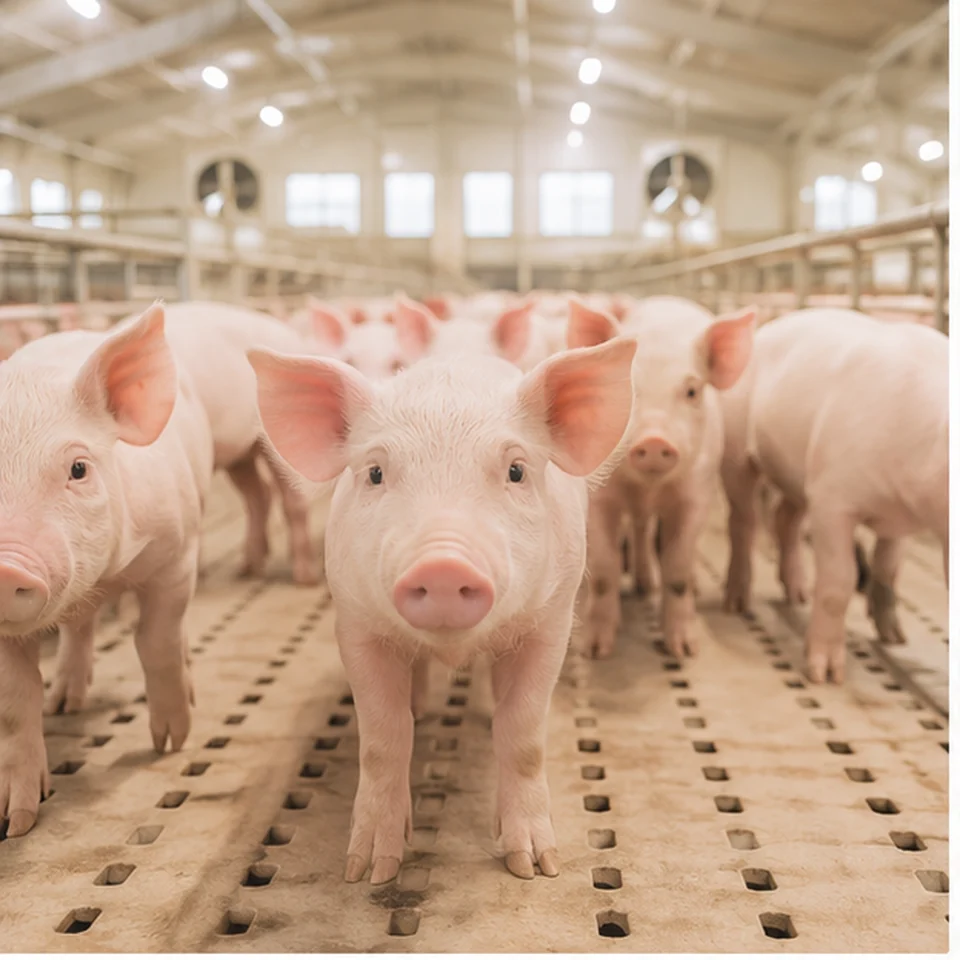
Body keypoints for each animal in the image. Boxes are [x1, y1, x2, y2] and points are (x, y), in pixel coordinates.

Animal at [0, 304, 213, 836]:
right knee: (79, 628)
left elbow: (156, 640)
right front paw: (17, 821)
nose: (7, 568)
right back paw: (65, 703)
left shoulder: (176, 553)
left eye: (78, 468)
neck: (103, 578)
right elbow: (14, 693)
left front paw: (171, 742)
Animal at [249, 338, 637, 883]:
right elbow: (382, 737)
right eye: (375, 473)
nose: (443, 563)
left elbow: (523, 734)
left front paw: (535, 866)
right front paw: (369, 870)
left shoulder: (551, 622)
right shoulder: (356, 624)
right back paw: (420, 707)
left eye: (516, 470)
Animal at [568, 296, 756, 660]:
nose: (654, 441)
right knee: (640, 529)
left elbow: (677, 570)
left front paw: (683, 650)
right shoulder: (600, 500)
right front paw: (595, 650)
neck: (648, 489)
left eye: (692, 391)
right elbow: (605, 571)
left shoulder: (697, 494)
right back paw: (643, 585)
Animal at [719, 308, 948, 683]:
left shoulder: (902, 521)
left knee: (786, 520)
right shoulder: (832, 499)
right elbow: (839, 581)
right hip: (737, 453)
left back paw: (796, 595)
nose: (897, 637)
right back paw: (736, 603)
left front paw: (894, 638)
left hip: (798, 477)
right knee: (742, 523)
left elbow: (889, 569)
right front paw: (824, 675)